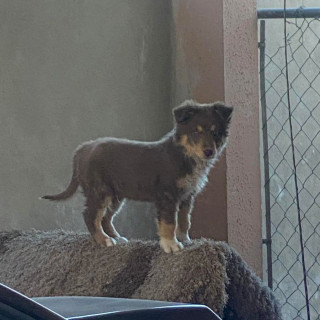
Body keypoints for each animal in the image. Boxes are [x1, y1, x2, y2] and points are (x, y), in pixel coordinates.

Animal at [42, 100, 232, 252]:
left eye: (215, 133)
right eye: (196, 132)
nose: (209, 152)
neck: (185, 154)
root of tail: (83, 148)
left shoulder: (187, 196)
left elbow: (185, 220)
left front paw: (185, 240)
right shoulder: (167, 195)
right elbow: (169, 222)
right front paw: (171, 245)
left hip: (115, 196)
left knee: (106, 218)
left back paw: (116, 237)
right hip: (100, 191)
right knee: (90, 215)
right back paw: (104, 240)